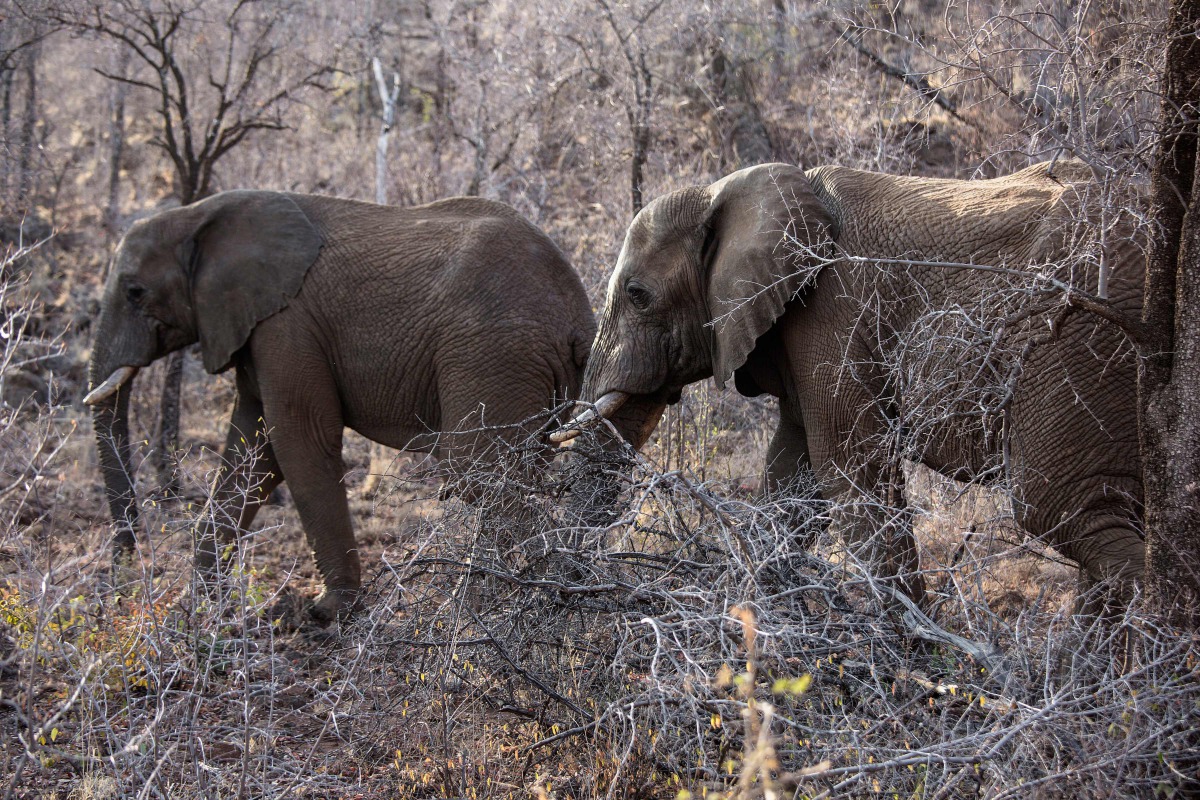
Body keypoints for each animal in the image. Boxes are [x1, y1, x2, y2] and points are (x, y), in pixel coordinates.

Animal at [86, 190, 599, 621]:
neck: (199, 215)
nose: (124, 584)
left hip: (492, 353)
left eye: (135, 292)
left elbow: (299, 444)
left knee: (479, 475)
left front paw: (327, 613)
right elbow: (251, 452)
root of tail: (579, 317)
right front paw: (200, 609)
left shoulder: (287, 324)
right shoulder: (256, 329)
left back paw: (514, 603)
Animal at [553, 160, 1144, 610]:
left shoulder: (830, 312)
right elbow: (792, 482)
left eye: (637, 295)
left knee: (1065, 508)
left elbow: (849, 472)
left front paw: (911, 661)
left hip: (1074, 337)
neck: (726, 190)